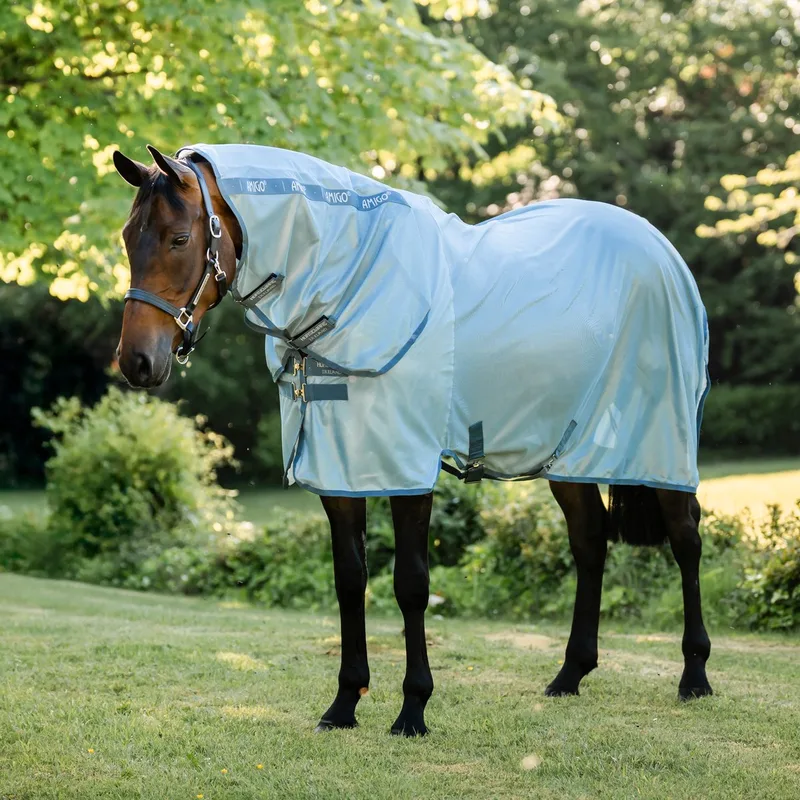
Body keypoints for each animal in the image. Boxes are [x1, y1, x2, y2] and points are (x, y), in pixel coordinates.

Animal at [112, 143, 712, 737]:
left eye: (179, 239)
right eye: (126, 237)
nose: (137, 362)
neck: (359, 285)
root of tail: (660, 248)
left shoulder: (407, 469)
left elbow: (411, 584)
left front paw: (413, 709)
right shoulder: (340, 470)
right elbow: (350, 579)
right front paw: (344, 704)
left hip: (661, 444)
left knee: (686, 539)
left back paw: (695, 676)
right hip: (568, 455)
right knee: (589, 539)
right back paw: (570, 674)